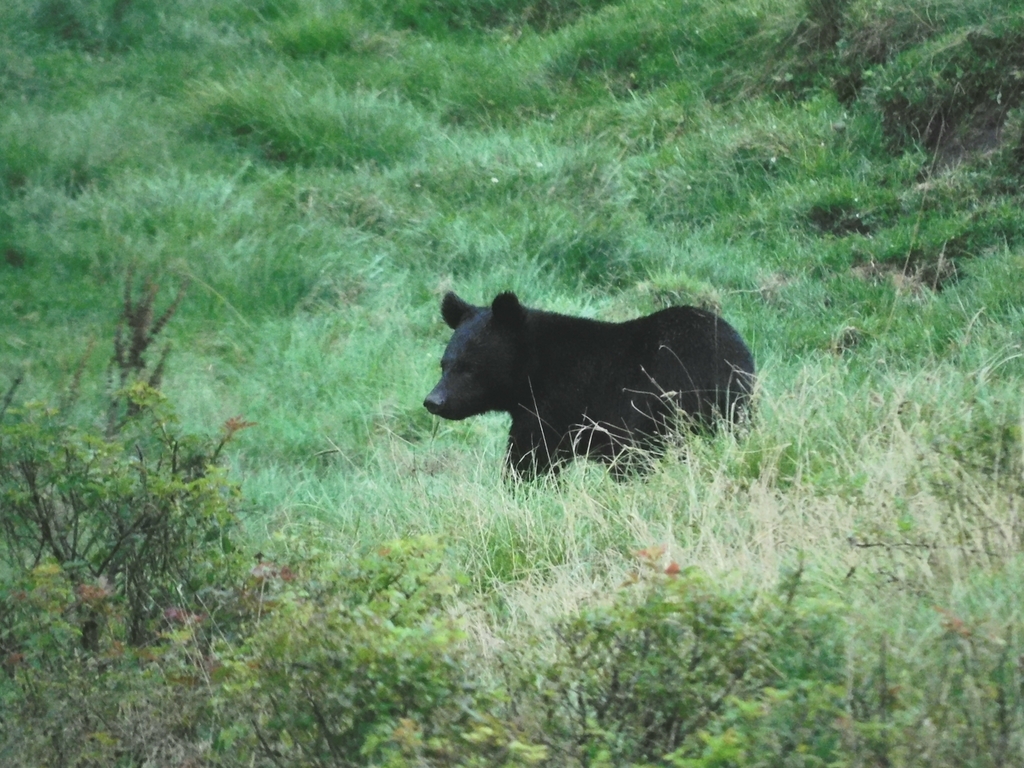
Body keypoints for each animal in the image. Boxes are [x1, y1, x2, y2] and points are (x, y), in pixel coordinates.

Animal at [421, 290, 753, 479]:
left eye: (469, 368)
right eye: (445, 363)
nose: (433, 401)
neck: (535, 368)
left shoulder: (558, 403)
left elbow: (531, 454)